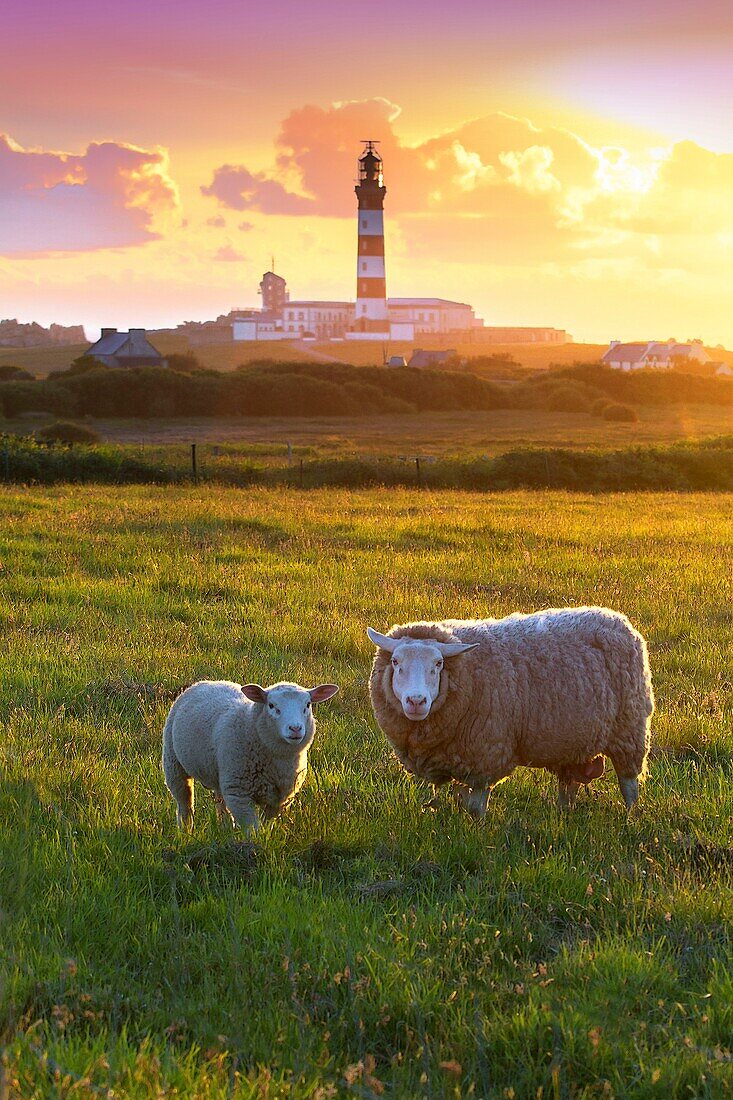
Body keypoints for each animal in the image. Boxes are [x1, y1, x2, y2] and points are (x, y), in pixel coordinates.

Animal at [161, 677, 338, 831]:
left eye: (308, 704)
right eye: (271, 705)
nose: (295, 728)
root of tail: (205, 682)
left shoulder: (280, 797)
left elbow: (267, 825)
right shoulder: (239, 794)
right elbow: (252, 829)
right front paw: (254, 845)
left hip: (220, 773)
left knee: (220, 802)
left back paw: (225, 829)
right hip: (173, 762)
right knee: (184, 803)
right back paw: (185, 832)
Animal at [367, 611, 651, 818]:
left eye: (438, 664)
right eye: (395, 662)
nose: (416, 701)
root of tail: (616, 618)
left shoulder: (485, 755)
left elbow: (475, 806)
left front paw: (475, 830)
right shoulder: (461, 757)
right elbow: (461, 799)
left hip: (629, 728)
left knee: (628, 783)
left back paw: (629, 816)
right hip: (574, 742)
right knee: (569, 785)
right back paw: (564, 814)